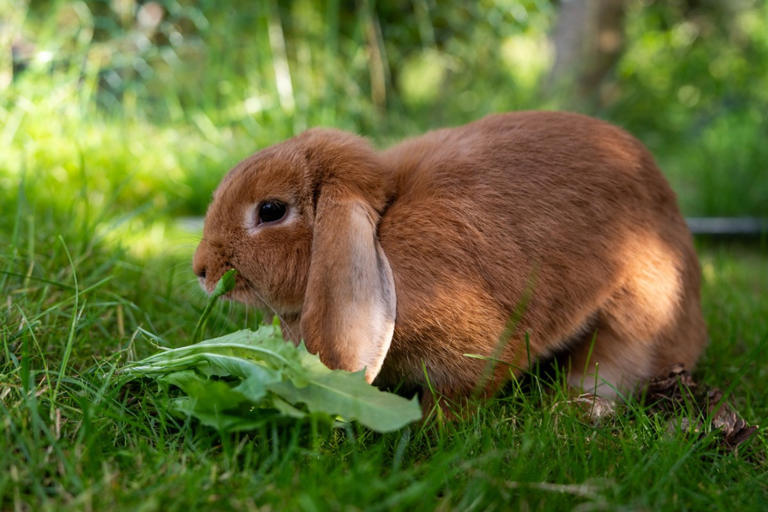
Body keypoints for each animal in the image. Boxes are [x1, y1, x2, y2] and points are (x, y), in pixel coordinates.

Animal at [193, 111, 708, 408]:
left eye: (270, 210)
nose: (201, 269)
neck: (381, 235)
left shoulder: (477, 350)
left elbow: (464, 392)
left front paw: (429, 428)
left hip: (636, 308)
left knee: (616, 363)